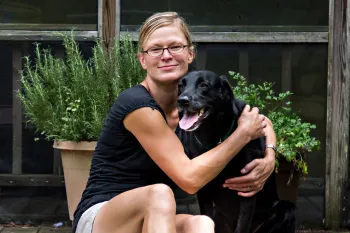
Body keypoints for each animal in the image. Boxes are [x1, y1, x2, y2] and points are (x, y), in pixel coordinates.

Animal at [178, 70, 296, 233]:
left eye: (204, 85)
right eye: (181, 86)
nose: (182, 100)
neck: (214, 138)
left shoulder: (248, 186)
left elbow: (242, 225)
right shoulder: (203, 190)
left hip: (286, 208)